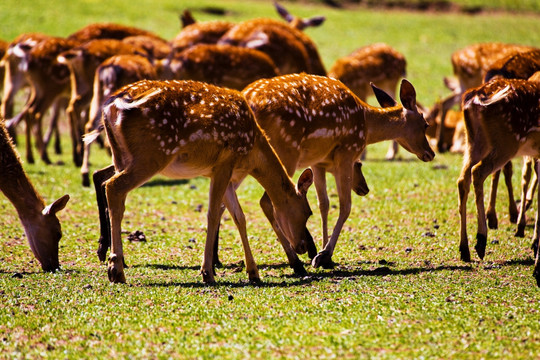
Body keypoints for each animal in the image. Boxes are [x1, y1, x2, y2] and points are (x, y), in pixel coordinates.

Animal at [88, 79, 314, 284]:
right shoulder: (225, 162)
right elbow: (213, 214)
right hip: (151, 154)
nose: (303, 246)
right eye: (308, 212)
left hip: (121, 156)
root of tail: (112, 105)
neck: (253, 152)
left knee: (111, 189)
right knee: (114, 187)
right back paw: (116, 270)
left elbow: (239, 217)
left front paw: (253, 272)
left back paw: (114, 263)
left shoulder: (223, 172)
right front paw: (207, 273)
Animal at [240, 73, 434, 268]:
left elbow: (323, 204)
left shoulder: (318, 162)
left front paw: (323, 255)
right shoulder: (346, 152)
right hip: (285, 153)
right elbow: (345, 206)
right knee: (267, 201)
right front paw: (324, 254)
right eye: (425, 124)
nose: (430, 153)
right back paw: (293, 259)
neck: (366, 126)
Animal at [456, 79, 540, 284]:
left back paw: (465, 250)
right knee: (477, 172)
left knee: (463, 179)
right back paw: (481, 240)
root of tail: (475, 97)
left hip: (474, 142)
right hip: (506, 142)